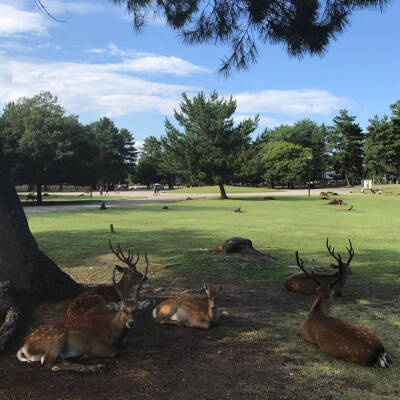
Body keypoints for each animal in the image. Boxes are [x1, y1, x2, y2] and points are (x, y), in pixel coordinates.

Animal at [16, 256, 149, 372]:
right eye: (121, 310)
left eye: (137, 309)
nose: (131, 323)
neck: (115, 333)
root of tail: (24, 345)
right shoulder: (97, 346)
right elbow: (115, 352)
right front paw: (88, 355)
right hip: (56, 338)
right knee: (47, 364)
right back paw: (93, 366)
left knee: (56, 363)